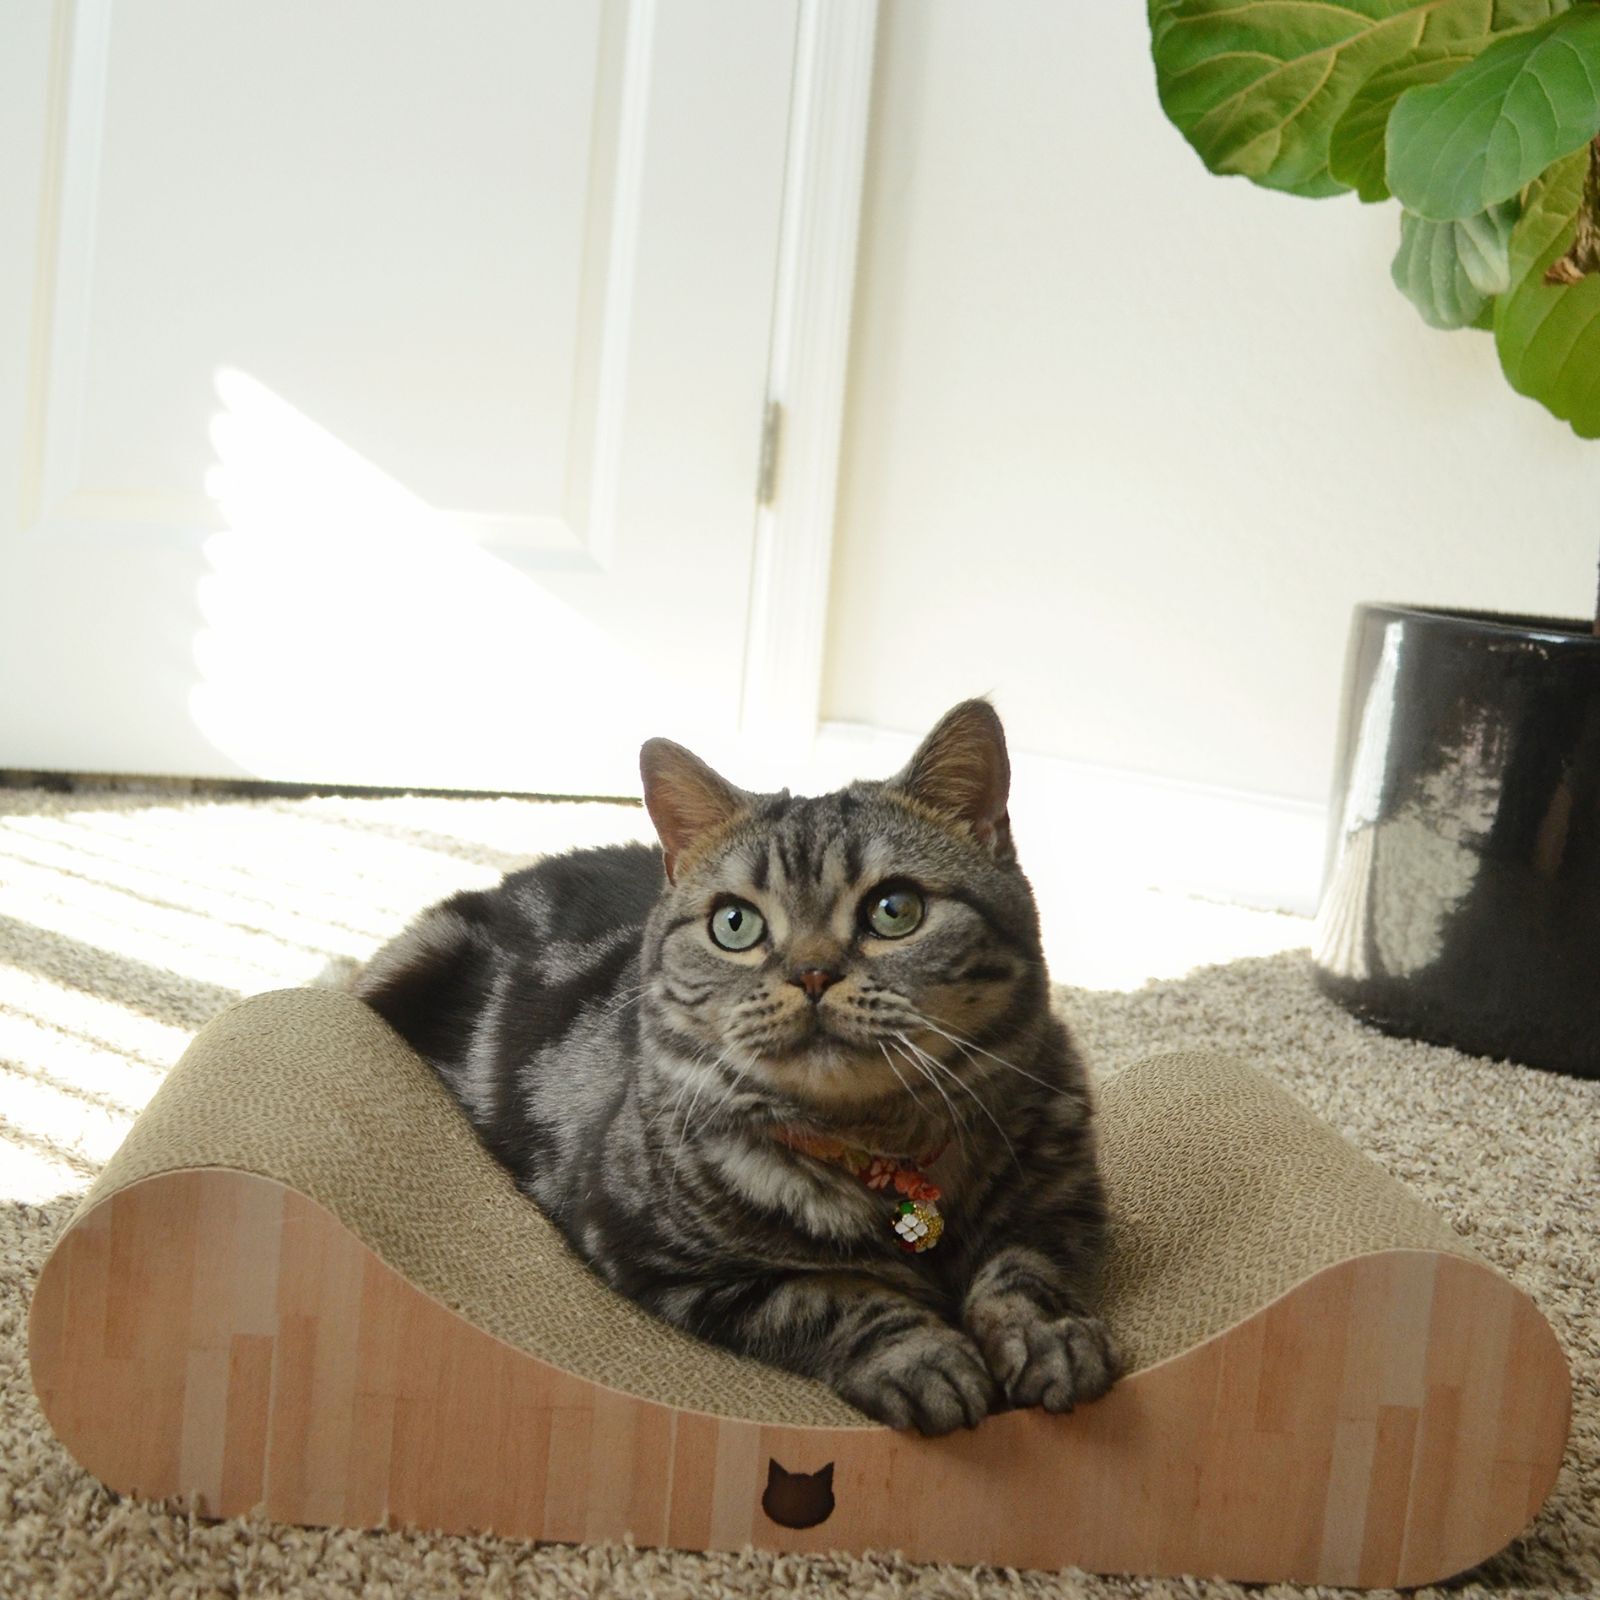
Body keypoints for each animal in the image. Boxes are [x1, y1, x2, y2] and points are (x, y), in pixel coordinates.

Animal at [356, 697, 1120, 1427]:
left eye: (894, 909)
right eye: (735, 924)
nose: (812, 973)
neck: (884, 1152)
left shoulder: (1063, 1207)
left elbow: (1022, 1270)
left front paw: (1050, 1337)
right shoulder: (658, 1257)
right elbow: (836, 1296)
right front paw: (921, 1356)